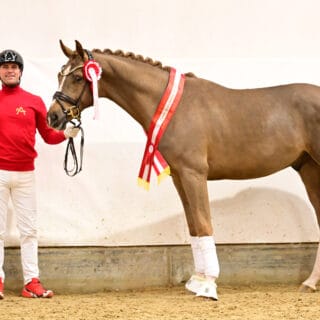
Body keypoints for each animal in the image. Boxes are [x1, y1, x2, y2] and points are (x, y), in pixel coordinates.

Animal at [45, 40, 320, 300]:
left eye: (77, 78)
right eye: (60, 74)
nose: (53, 117)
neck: (174, 107)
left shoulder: (194, 174)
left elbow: (204, 224)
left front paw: (208, 286)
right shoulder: (179, 177)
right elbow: (194, 227)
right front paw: (197, 281)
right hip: (308, 170)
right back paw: (309, 283)